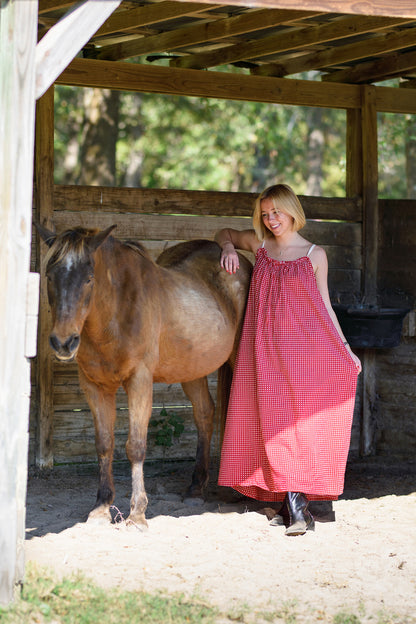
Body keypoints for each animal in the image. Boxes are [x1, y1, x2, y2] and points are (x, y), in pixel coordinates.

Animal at [37, 224, 250, 528]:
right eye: (50, 276)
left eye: (89, 278)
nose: (63, 343)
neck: (115, 314)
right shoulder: (94, 386)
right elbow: (104, 444)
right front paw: (101, 506)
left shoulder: (139, 382)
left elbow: (135, 446)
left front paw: (137, 513)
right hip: (191, 367)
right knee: (204, 414)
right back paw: (195, 488)